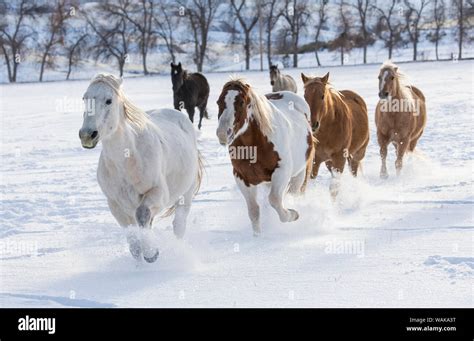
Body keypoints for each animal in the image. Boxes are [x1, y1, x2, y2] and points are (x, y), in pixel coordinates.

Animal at [79, 73, 202, 262]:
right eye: (85, 98)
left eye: (108, 100)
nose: (87, 135)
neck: (128, 161)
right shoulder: (115, 205)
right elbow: (133, 236)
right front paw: (140, 258)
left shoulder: (158, 193)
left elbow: (142, 213)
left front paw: (151, 253)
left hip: (185, 195)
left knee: (179, 225)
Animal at [218, 78, 314, 235]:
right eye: (219, 101)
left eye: (241, 102)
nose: (222, 133)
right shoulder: (242, 177)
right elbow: (254, 211)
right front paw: (257, 236)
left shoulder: (282, 171)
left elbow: (274, 200)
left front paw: (293, 214)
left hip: (299, 174)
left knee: (292, 193)